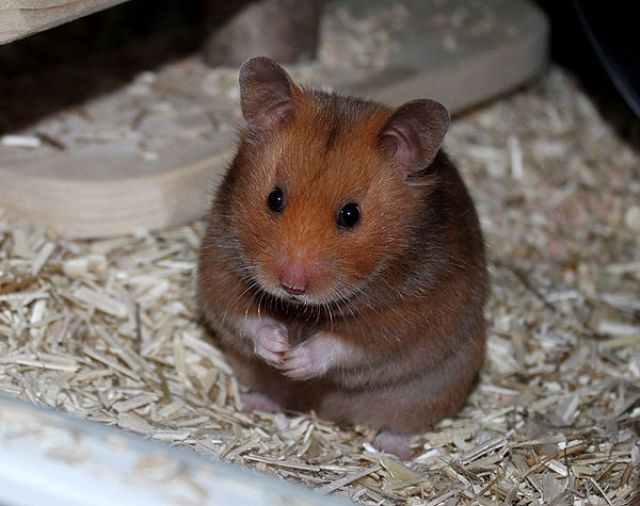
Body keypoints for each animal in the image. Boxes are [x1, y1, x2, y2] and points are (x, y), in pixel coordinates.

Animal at [197, 57, 488, 458]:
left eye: (351, 215)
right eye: (274, 198)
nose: (292, 285)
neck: (300, 312)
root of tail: (323, 410)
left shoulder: (409, 313)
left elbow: (347, 343)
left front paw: (296, 361)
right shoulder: (221, 263)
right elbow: (245, 316)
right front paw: (278, 349)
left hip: (434, 389)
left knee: (401, 424)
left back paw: (391, 450)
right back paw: (256, 403)